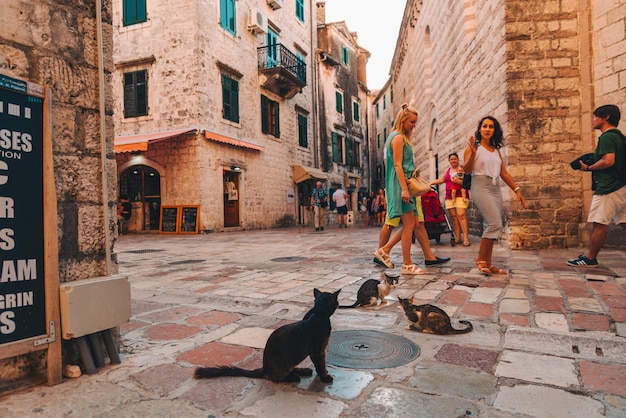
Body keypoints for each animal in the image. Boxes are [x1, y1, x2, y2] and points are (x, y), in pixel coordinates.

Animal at [195, 290, 342, 384]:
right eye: (337, 302)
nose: (339, 304)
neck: (318, 314)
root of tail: (264, 368)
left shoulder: (319, 350)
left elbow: (321, 364)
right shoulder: (318, 351)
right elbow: (320, 365)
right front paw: (325, 377)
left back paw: (302, 370)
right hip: (285, 362)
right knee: (275, 377)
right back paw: (293, 377)